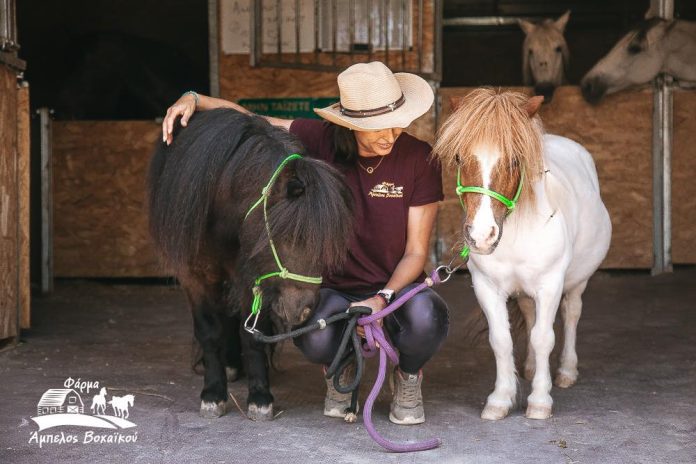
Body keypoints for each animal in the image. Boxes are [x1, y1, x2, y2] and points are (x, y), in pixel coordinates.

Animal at [147, 109, 354, 420]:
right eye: (289, 234)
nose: (304, 310)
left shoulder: (251, 277)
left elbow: (252, 335)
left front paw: (259, 396)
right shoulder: (193, 276)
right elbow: (208, 331)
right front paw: (213, 393)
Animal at [432, 88, 612, 420]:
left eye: (515, 159)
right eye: (460, 157)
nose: (481, 236)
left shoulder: (550, 285)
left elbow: (544, 338)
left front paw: (540, 401)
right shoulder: (487, 287)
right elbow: (501, 340)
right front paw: (500, 399)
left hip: (577, 282)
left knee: (571, 314)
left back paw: (566, 371)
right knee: (529, 316)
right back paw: (529, 368)